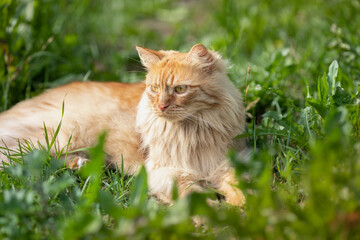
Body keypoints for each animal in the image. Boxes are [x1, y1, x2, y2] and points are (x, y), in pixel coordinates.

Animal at [0, 44, 245, 205]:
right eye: (154, 89)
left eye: (180, 89)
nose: (161, 107)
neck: (192, 133)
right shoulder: (169, 173)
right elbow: (196, 198)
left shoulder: (224, 165)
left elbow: (240, 188)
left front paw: (242, 209)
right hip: (55, 137)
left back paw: (82, 164)